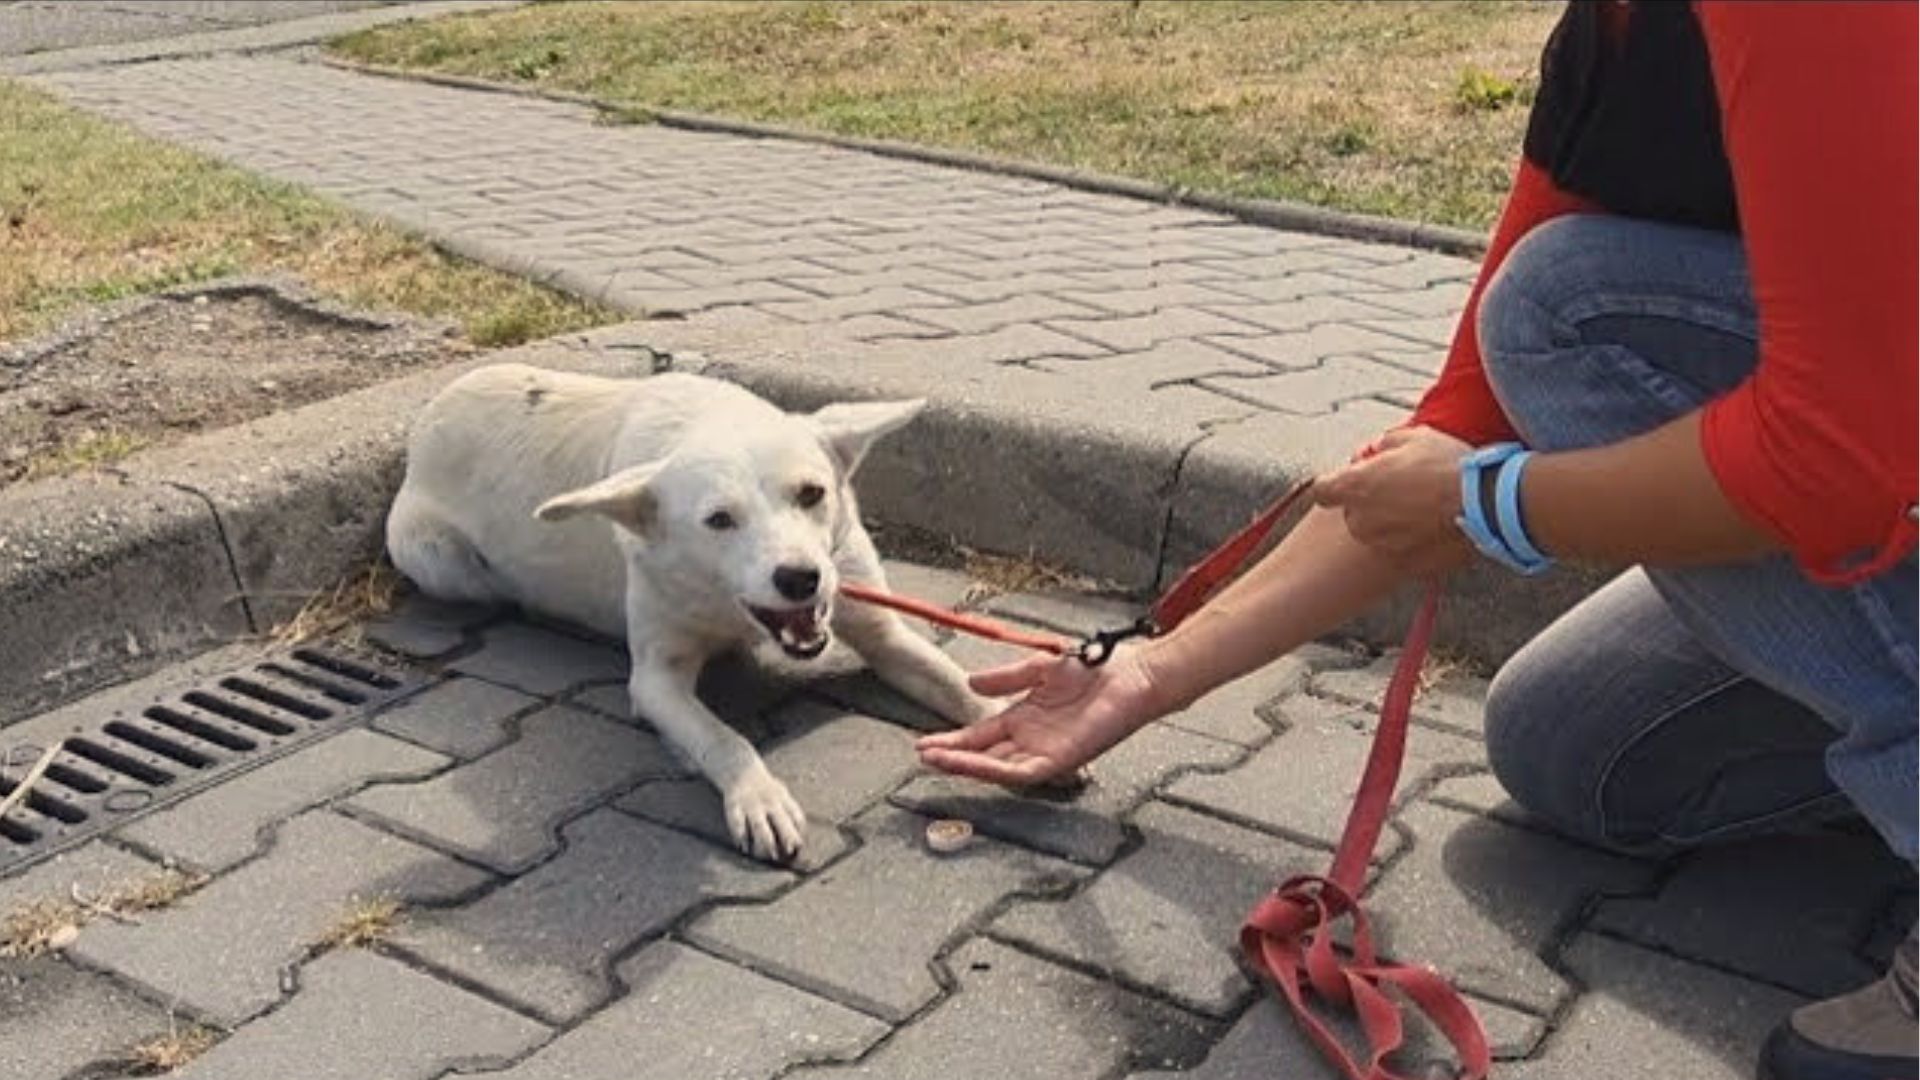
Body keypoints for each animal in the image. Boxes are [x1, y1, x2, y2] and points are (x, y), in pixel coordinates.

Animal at [384, 365, 998, 860]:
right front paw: (758, 795)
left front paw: (1002, 723)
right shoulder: (656, 679)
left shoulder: (881, 630)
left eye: (811, 493)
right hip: (433, 557)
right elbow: (722, 739)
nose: (800, 577)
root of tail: (434, 409)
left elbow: (960, 681)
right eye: (719, 520)